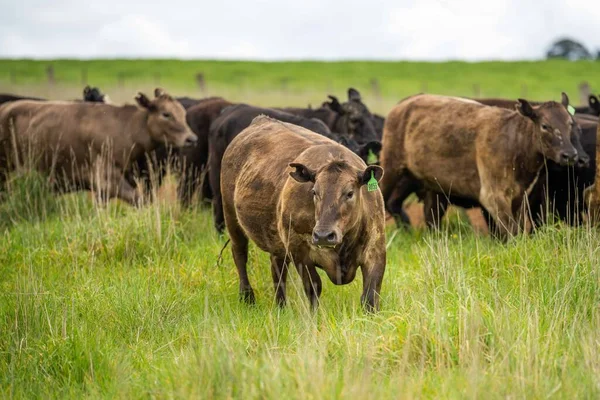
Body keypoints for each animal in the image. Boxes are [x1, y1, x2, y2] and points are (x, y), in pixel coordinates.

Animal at [0, 88, 197, 205]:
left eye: (182, 113)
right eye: (166, 114)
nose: (192, 139)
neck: (125, 128)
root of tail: (5, 108)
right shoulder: (107, 180)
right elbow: (139, 200)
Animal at [220, 114, 384, 310]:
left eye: (350, 193)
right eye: (314, 192)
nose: (323, 235)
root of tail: (261, 119)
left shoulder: (376, 250)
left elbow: (370, 296)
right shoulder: (299, 250)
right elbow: (313, 287)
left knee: (278, 268)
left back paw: (281, 305)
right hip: (231, 217)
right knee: (240, 254)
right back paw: (247, 297)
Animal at [382, 94, 580, 238]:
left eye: (570, 123)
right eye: (545, 126)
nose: (570, 154)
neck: (514, 142)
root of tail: (404, 104)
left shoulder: (520, 197)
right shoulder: (493, 195)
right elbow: (510, 231)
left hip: (431, 185)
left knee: (431, 216)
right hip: (390, 169)